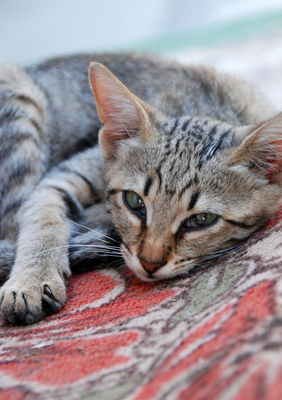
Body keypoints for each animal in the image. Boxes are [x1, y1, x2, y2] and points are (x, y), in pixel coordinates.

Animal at [0, 51, 280, 324]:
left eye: (202, 219)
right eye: (134, 202)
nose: (149, 263)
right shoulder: (61, 177)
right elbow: (42, 222)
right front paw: (32, 279)